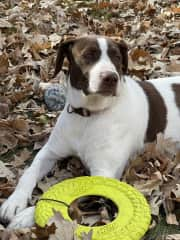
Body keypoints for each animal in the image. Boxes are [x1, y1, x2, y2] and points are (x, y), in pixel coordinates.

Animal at [0, 35, 180, 229]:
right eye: (88, 55)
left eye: (117, 57)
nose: (111, 78)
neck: (88, 116)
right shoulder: (50, 151)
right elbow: (29, 173)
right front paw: (14, 202)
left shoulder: (103, 175)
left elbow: (71, 193)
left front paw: (28, 215)